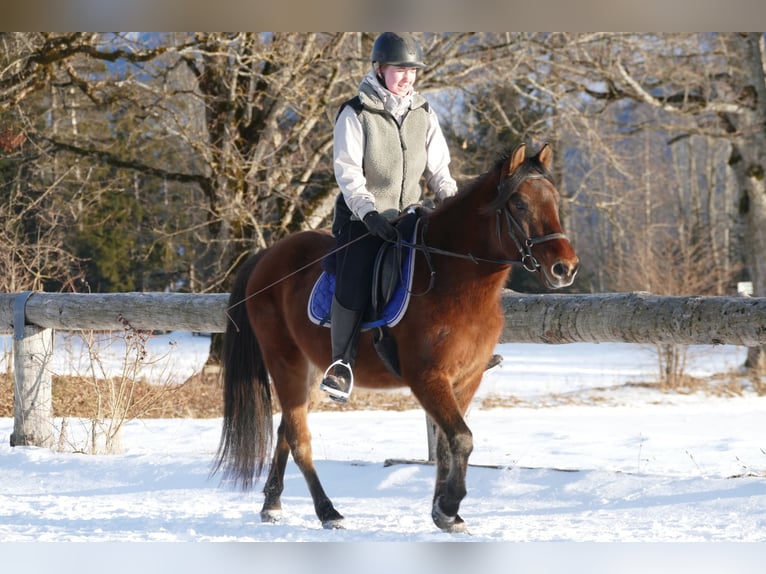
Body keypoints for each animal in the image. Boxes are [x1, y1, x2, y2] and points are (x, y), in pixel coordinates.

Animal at [213, 143, 580, 536]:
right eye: (520, 204)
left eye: (553, 201)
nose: (565, 268)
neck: (452, 278)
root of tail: (267, 255)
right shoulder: (427, 377)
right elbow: (461, 438)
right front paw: (449, 506)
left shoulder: (466, 379)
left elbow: (449, 443)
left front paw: (444, 511)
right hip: (285, 362)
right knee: (299, 439)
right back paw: (328, 511)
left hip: (311, 372)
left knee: (286, 429)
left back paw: (273, 503)